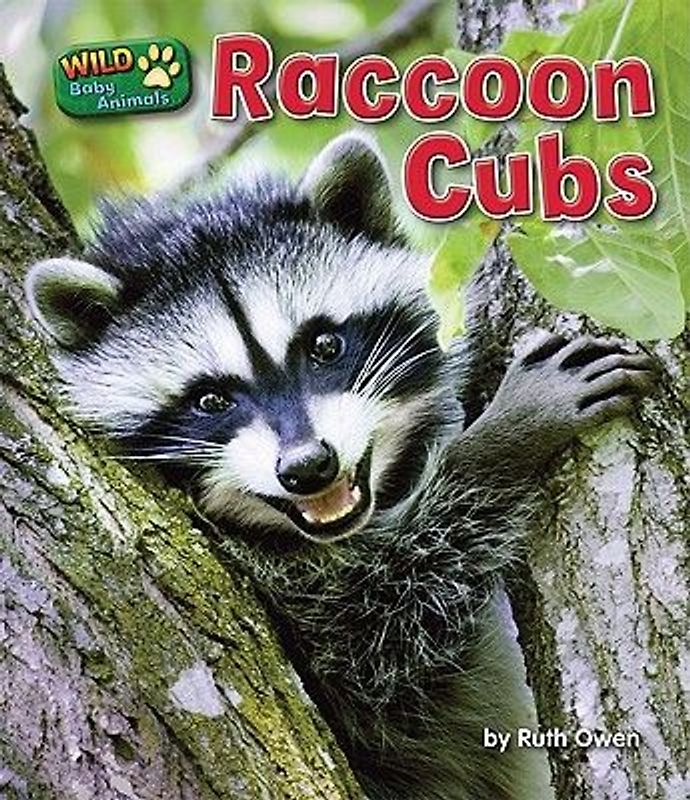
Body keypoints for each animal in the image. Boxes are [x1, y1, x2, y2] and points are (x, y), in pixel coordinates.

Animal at [26, 133, 657, 800]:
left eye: (324, 345)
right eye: (211, 400)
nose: (308, 467)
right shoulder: (295, 606)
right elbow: (387, 627)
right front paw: (498, 441)